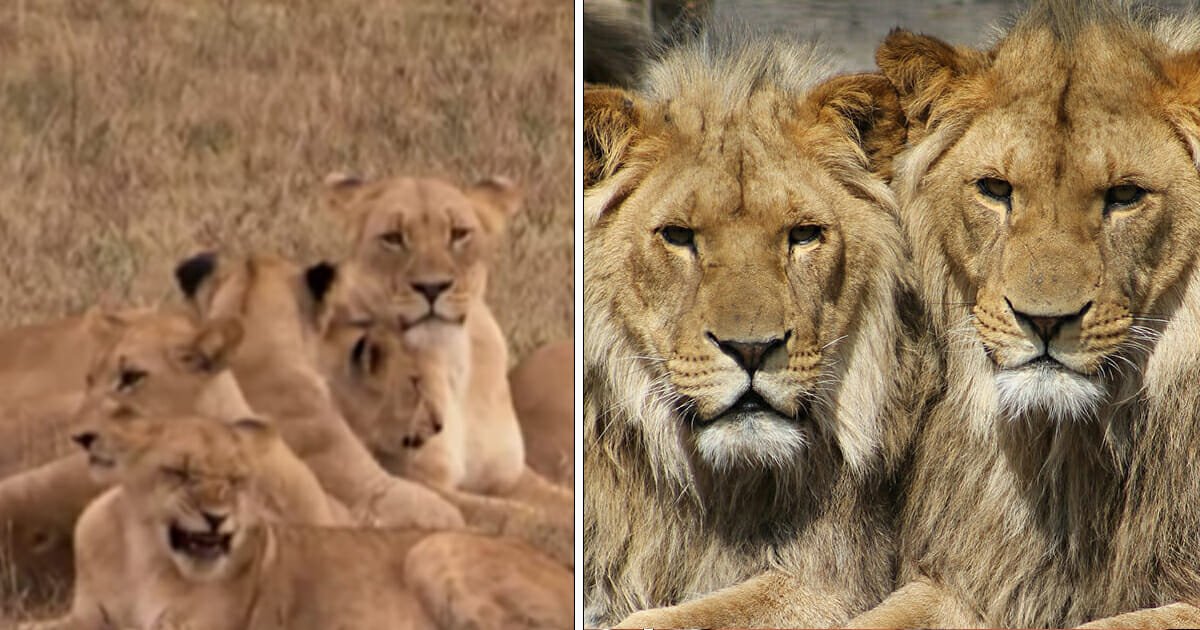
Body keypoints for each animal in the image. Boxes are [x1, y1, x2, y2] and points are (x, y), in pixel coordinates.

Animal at [19, 414, 572, 630]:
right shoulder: (86, 615)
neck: (144, 557)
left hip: (434, 549)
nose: (217, 519)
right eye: (179, 472)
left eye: (237, 479)